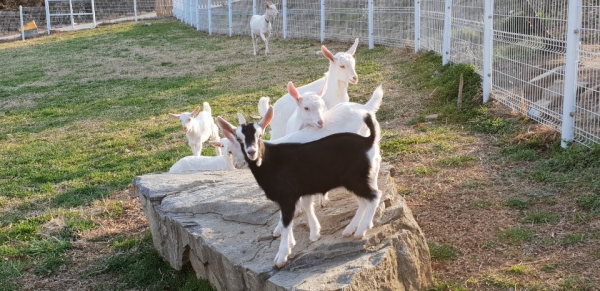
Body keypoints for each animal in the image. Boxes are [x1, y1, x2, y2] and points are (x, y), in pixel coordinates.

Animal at [218, 106, 382, 268]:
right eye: (239, 138)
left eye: (260, 135)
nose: (252, 152)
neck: (270, 161)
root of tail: (368, 141)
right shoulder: (288, 198)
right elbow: (288, 220)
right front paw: (291, 245)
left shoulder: (287, 197)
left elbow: (286, 223)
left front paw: (282, 256)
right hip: (356, 180)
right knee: (364, 201)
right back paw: (350, 229)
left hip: (355, 179)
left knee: (374, 196)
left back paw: (361, 230)